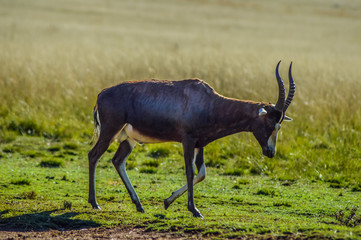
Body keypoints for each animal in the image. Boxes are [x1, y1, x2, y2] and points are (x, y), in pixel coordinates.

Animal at [88, 60, 296, 218]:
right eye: (270, 123)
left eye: (280, 125)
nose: (270, 152)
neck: (209, 101)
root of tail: (100, 94)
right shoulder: (187, 141)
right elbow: (189, 172)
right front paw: (194, 210)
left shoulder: (199, 144)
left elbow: (202, 173)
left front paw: (167, 201)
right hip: (110, 132)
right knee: (93, 155)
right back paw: (95, 203)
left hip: (129, 139)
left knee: (118, 161)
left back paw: (139, 205)